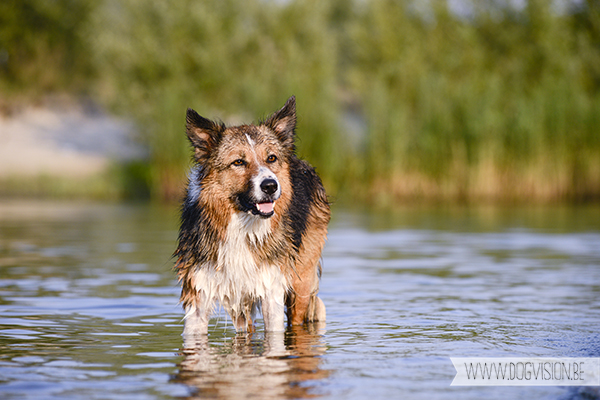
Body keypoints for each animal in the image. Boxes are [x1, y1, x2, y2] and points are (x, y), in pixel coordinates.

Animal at [173, 97, 332, 334]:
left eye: (271, 158)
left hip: (301, 281)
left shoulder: (271, 288)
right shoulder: (199, 292)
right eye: (238, 162)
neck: (241, 225)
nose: (270, 185)